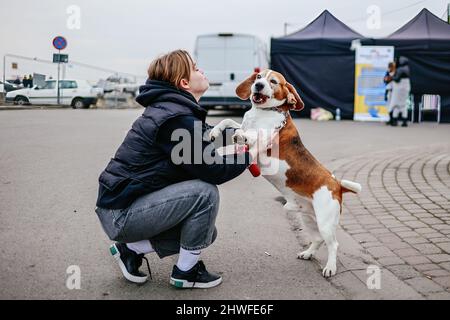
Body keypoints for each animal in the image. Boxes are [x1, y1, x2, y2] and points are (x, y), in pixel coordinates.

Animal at [211, 70, 362, 278]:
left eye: (273, 81)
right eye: (258, 76)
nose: (258, 85)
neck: (263, 111)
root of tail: (337, 184)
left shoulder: (260, 141)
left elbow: (246, 136)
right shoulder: (243, 129)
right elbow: (229, 122)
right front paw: (215, 131)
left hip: (325, 222)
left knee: (333, 245)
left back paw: (330, 267)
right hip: (307, 218)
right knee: (318, 239)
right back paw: (308, 253)